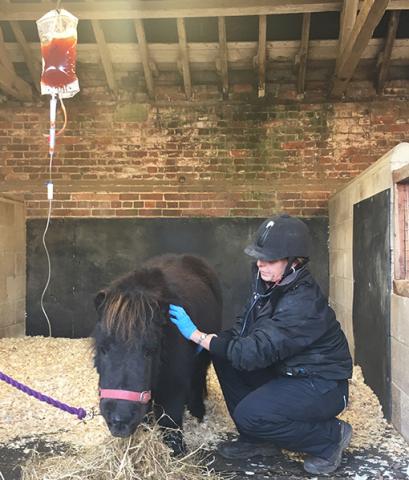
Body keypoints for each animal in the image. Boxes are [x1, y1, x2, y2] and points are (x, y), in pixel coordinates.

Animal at [92, 253, 222, 452]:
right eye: (103, 348)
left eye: (150, 350)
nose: (120, 421)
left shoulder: (173, 384)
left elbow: (170, 420)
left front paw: (176, 450)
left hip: (203, 356)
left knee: (198, 378)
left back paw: (197, 411)